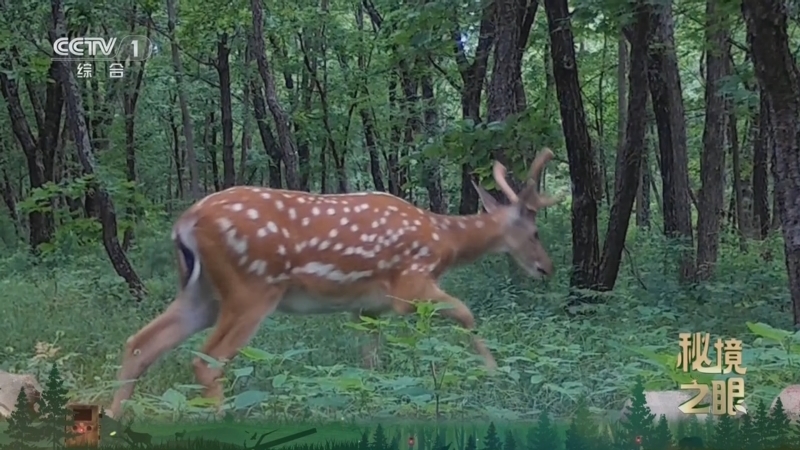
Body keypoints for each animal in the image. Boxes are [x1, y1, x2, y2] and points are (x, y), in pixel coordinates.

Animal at [108, 148, 562, 419]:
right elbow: (467, 313)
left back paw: (113, 417)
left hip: (201, 292)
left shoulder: (367, 307)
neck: (444, 240)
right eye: (535, 232)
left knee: (140, 343)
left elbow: (370, 362)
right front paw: (493, 372)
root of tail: (185, 222)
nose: (547, 269)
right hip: (251, 287)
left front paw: (373, 401)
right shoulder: (409, 283)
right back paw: (222, 421)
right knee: (207, 361)